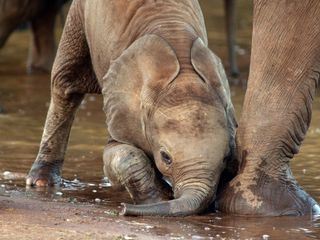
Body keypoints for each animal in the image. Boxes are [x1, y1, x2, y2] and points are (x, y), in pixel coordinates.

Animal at [26, 0, 236, 217]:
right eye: (166, 158)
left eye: (226, 157)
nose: (123, 210)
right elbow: (118, 154)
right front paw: (158, 198)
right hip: (79, 15)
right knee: (65, 83)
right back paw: (41, 182)